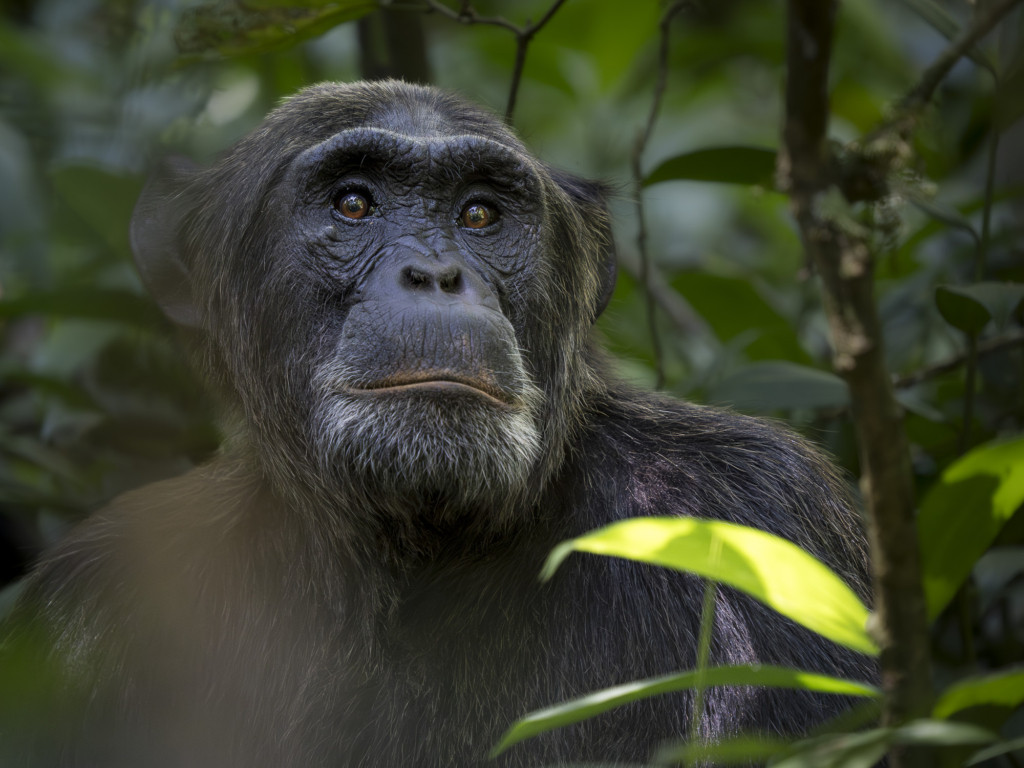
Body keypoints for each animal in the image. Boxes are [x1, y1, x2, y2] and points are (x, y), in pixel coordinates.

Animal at [2, 79, 872, 768]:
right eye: (353, 202)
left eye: (480, 214)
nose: (436, 273)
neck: (411, 551)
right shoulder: (84, 611)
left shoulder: (760, 512)